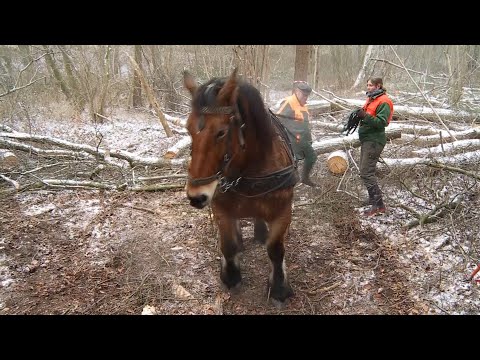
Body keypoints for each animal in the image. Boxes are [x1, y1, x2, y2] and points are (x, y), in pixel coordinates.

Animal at [184, 68, 300, 304]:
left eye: (221, 132)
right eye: (188, 129)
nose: (196, 196)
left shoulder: (283, 211)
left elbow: (276, 249)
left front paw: (279, 287)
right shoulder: (221, 209)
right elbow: (228, 245)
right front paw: (230, 276)